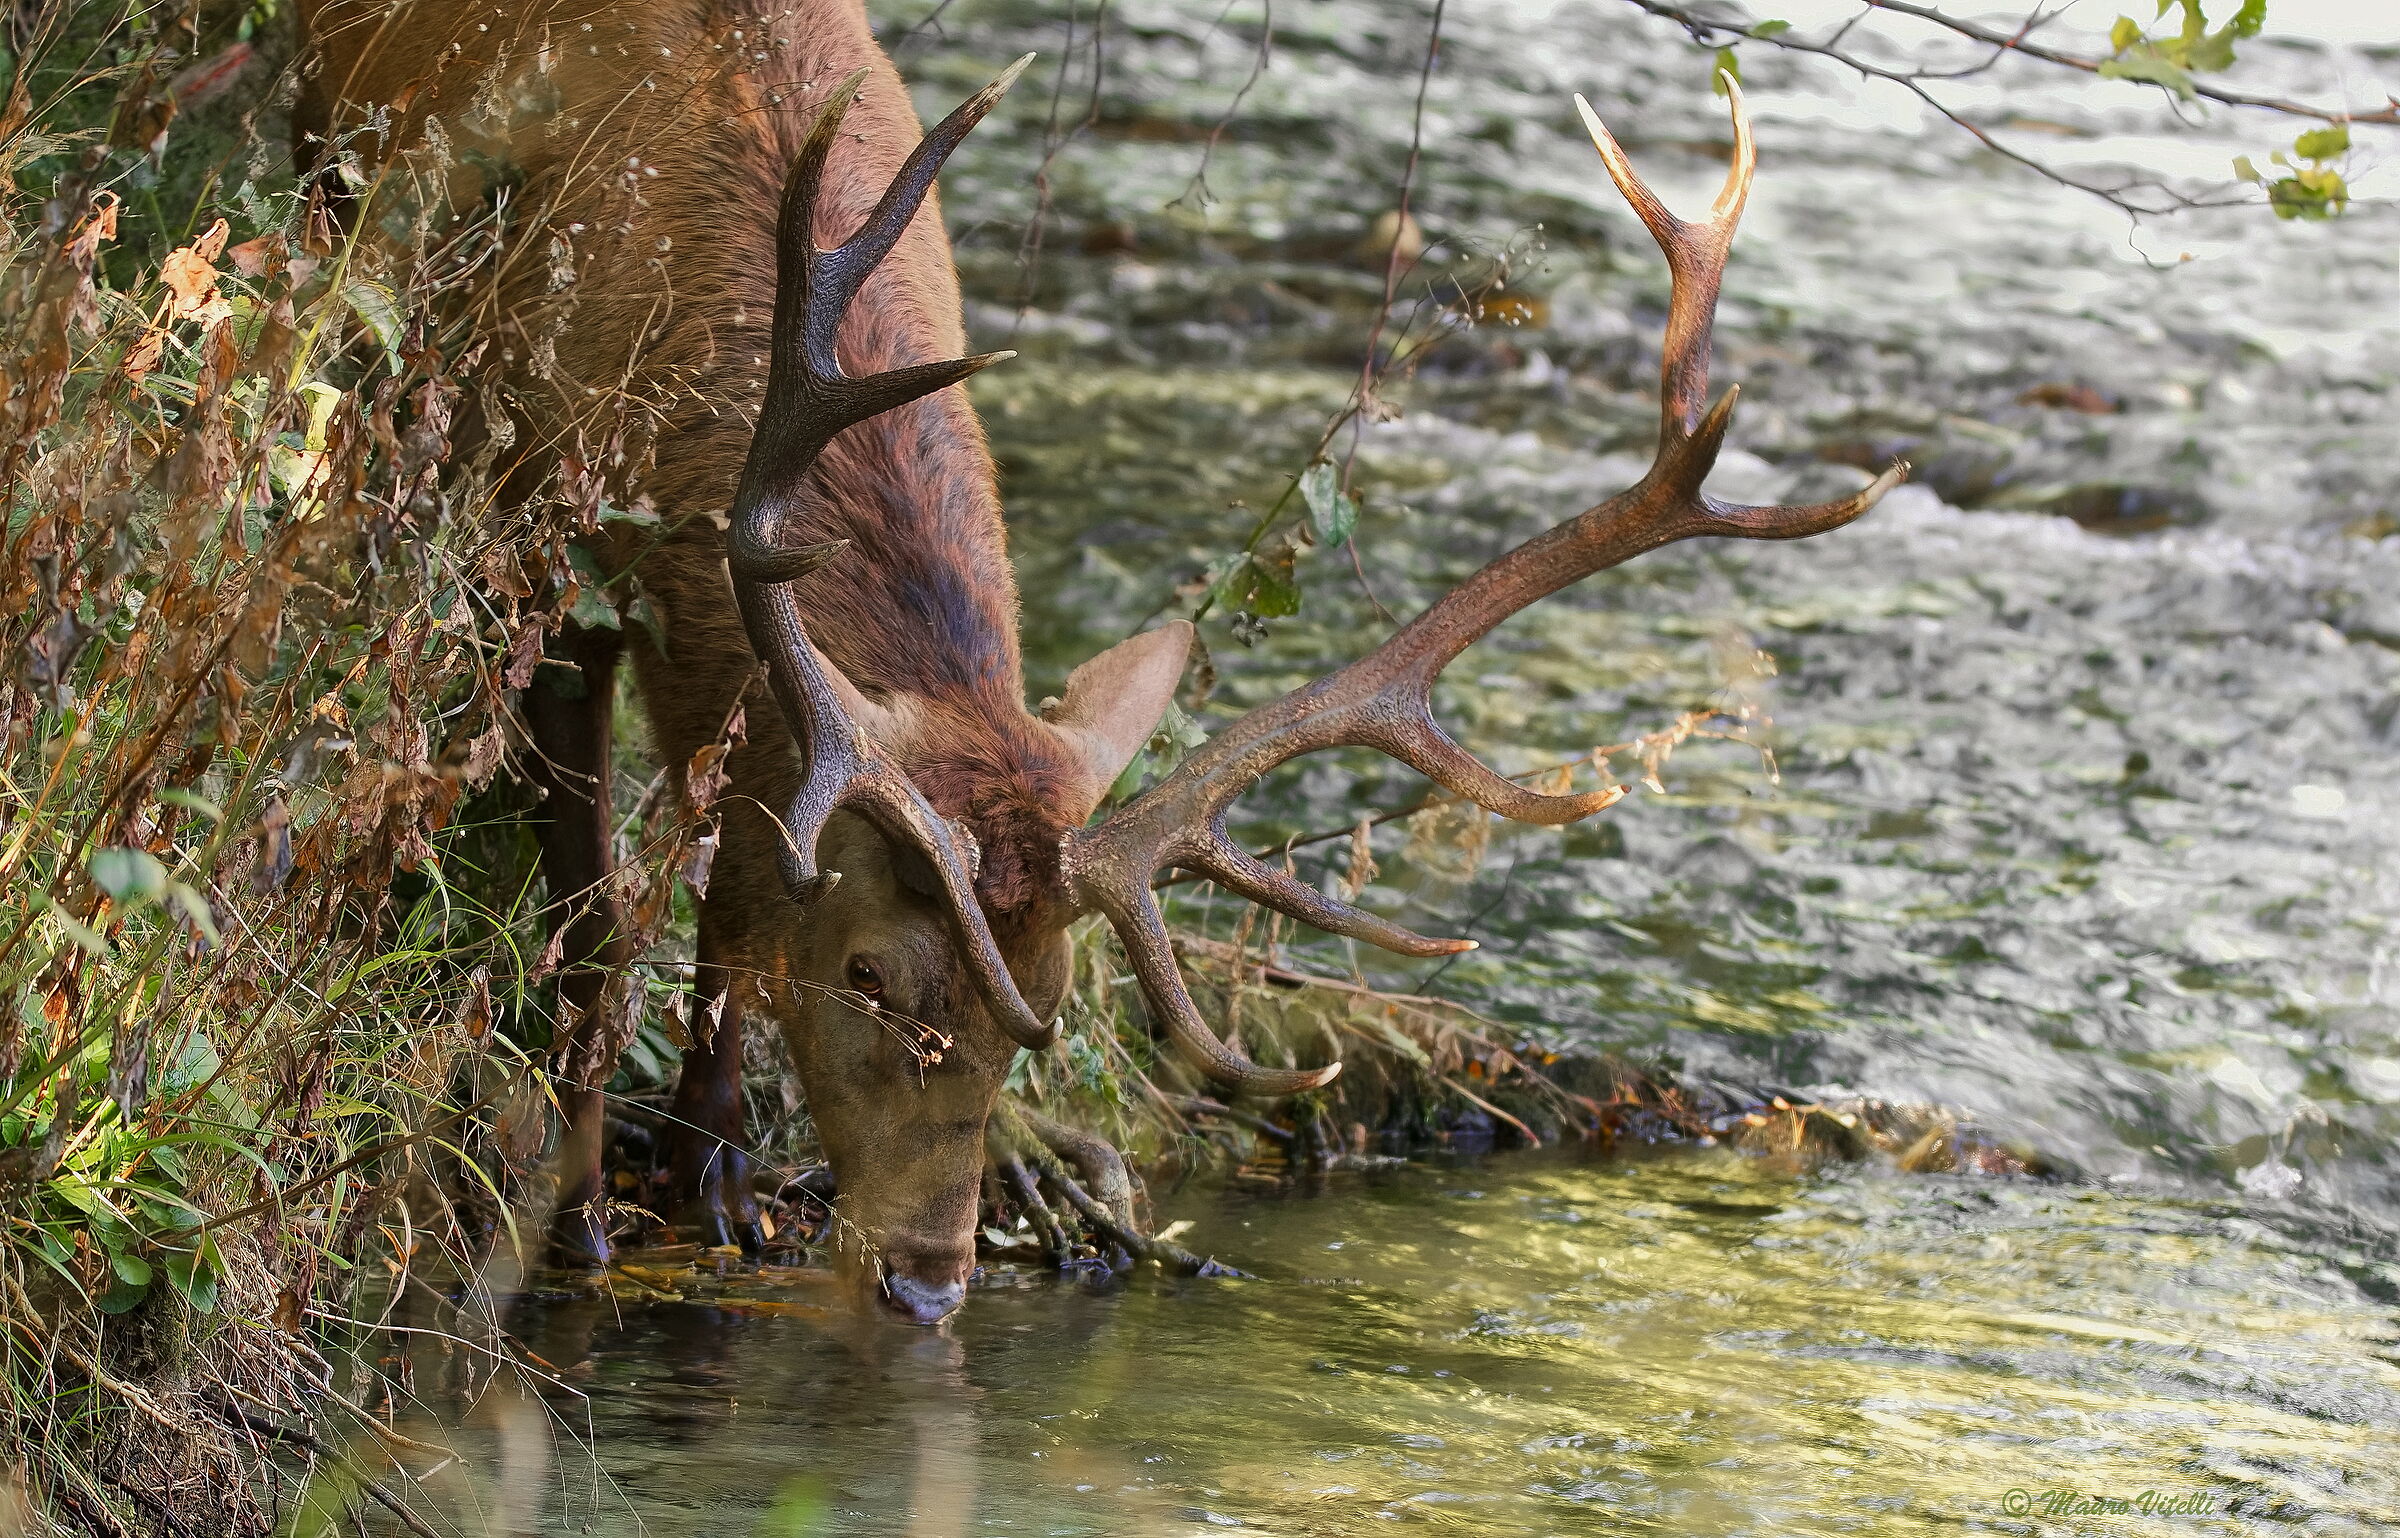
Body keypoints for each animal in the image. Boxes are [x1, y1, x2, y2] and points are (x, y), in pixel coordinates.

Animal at [296, 0, 1901, 1325]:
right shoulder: (551, 535)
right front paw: (578, 1213)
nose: (931, 1278)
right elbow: (598, 910)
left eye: (1051, 1006)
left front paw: (720, 1173)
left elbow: (727, 915)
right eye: (872, 973)